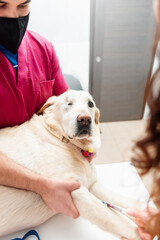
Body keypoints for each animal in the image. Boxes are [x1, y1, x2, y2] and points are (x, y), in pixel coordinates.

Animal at [0, 90, 140, 238]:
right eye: (68, 103)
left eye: (90, 104)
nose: (85, 119)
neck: (62, 139)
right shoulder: (76, 192)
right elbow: (117, 220)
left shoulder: (91, 185)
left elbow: (131, 203)